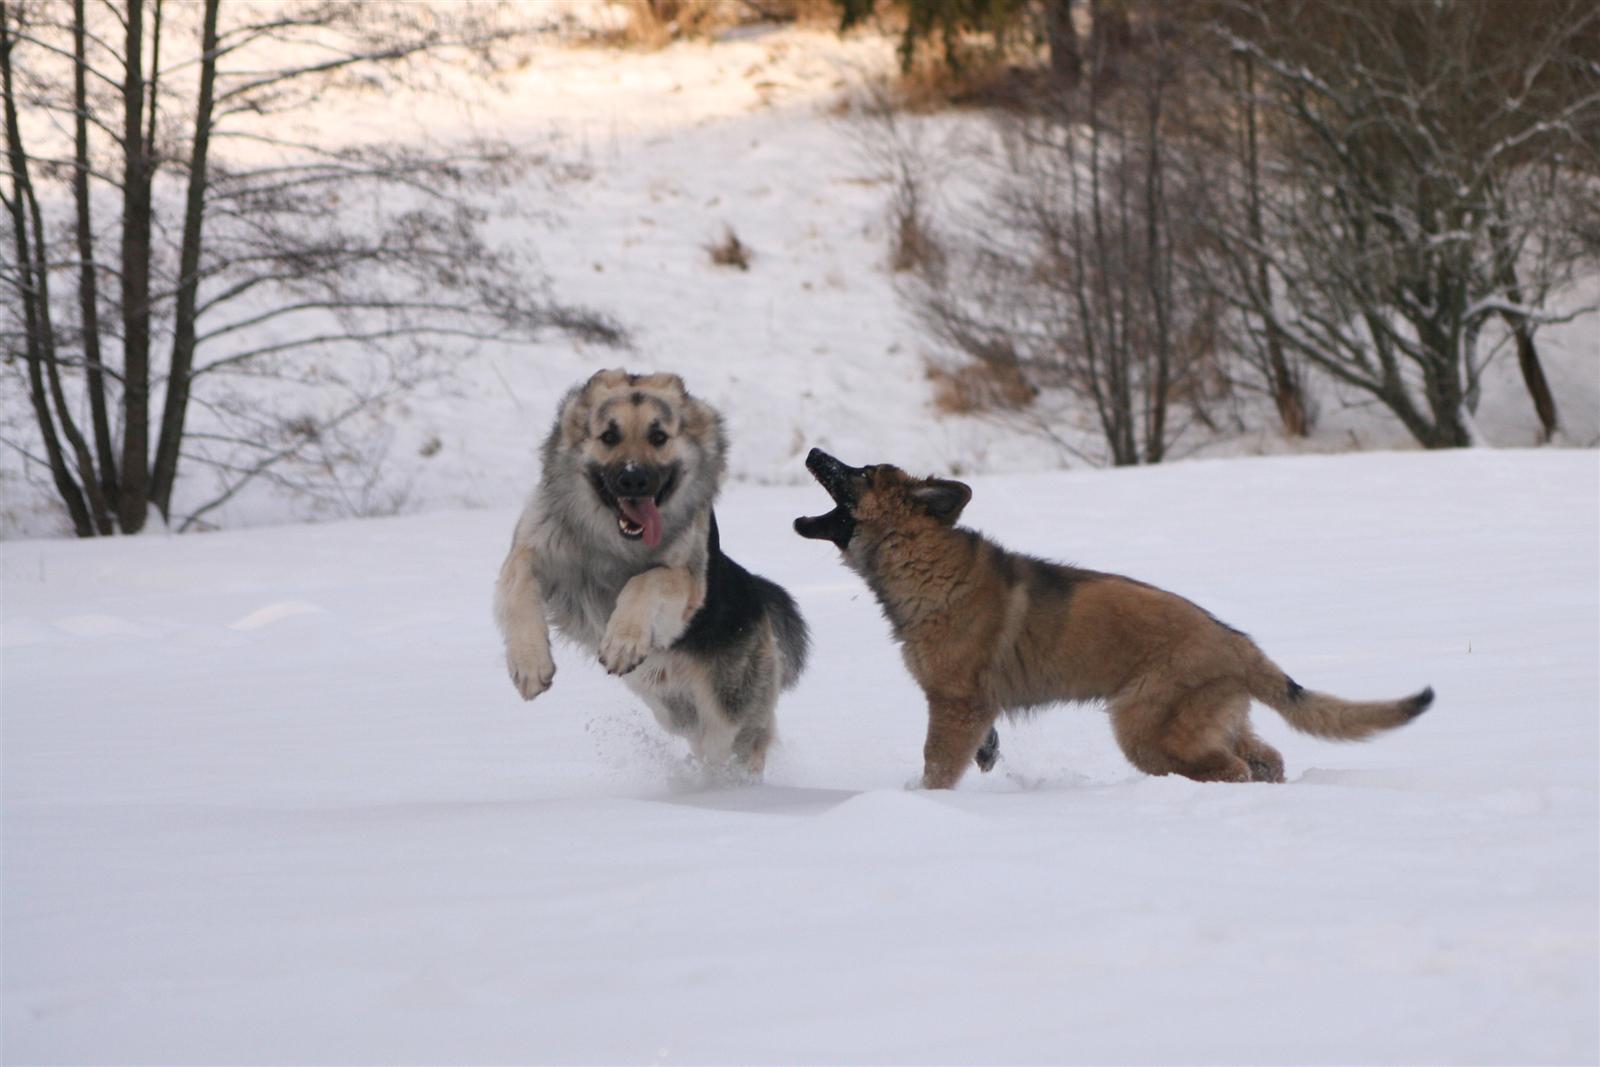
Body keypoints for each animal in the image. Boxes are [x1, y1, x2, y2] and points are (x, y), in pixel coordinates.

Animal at [793, 447, 1433, 790]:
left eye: (862, 472)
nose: (814, 452)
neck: (920, 555)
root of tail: (1242, 647)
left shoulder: (953, 704)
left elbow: (937, 764)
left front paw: (926, 800)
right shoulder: (976, 707)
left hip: (1147, 727)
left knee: (1228, 768)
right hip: (1214, 719)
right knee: (1265, 758)